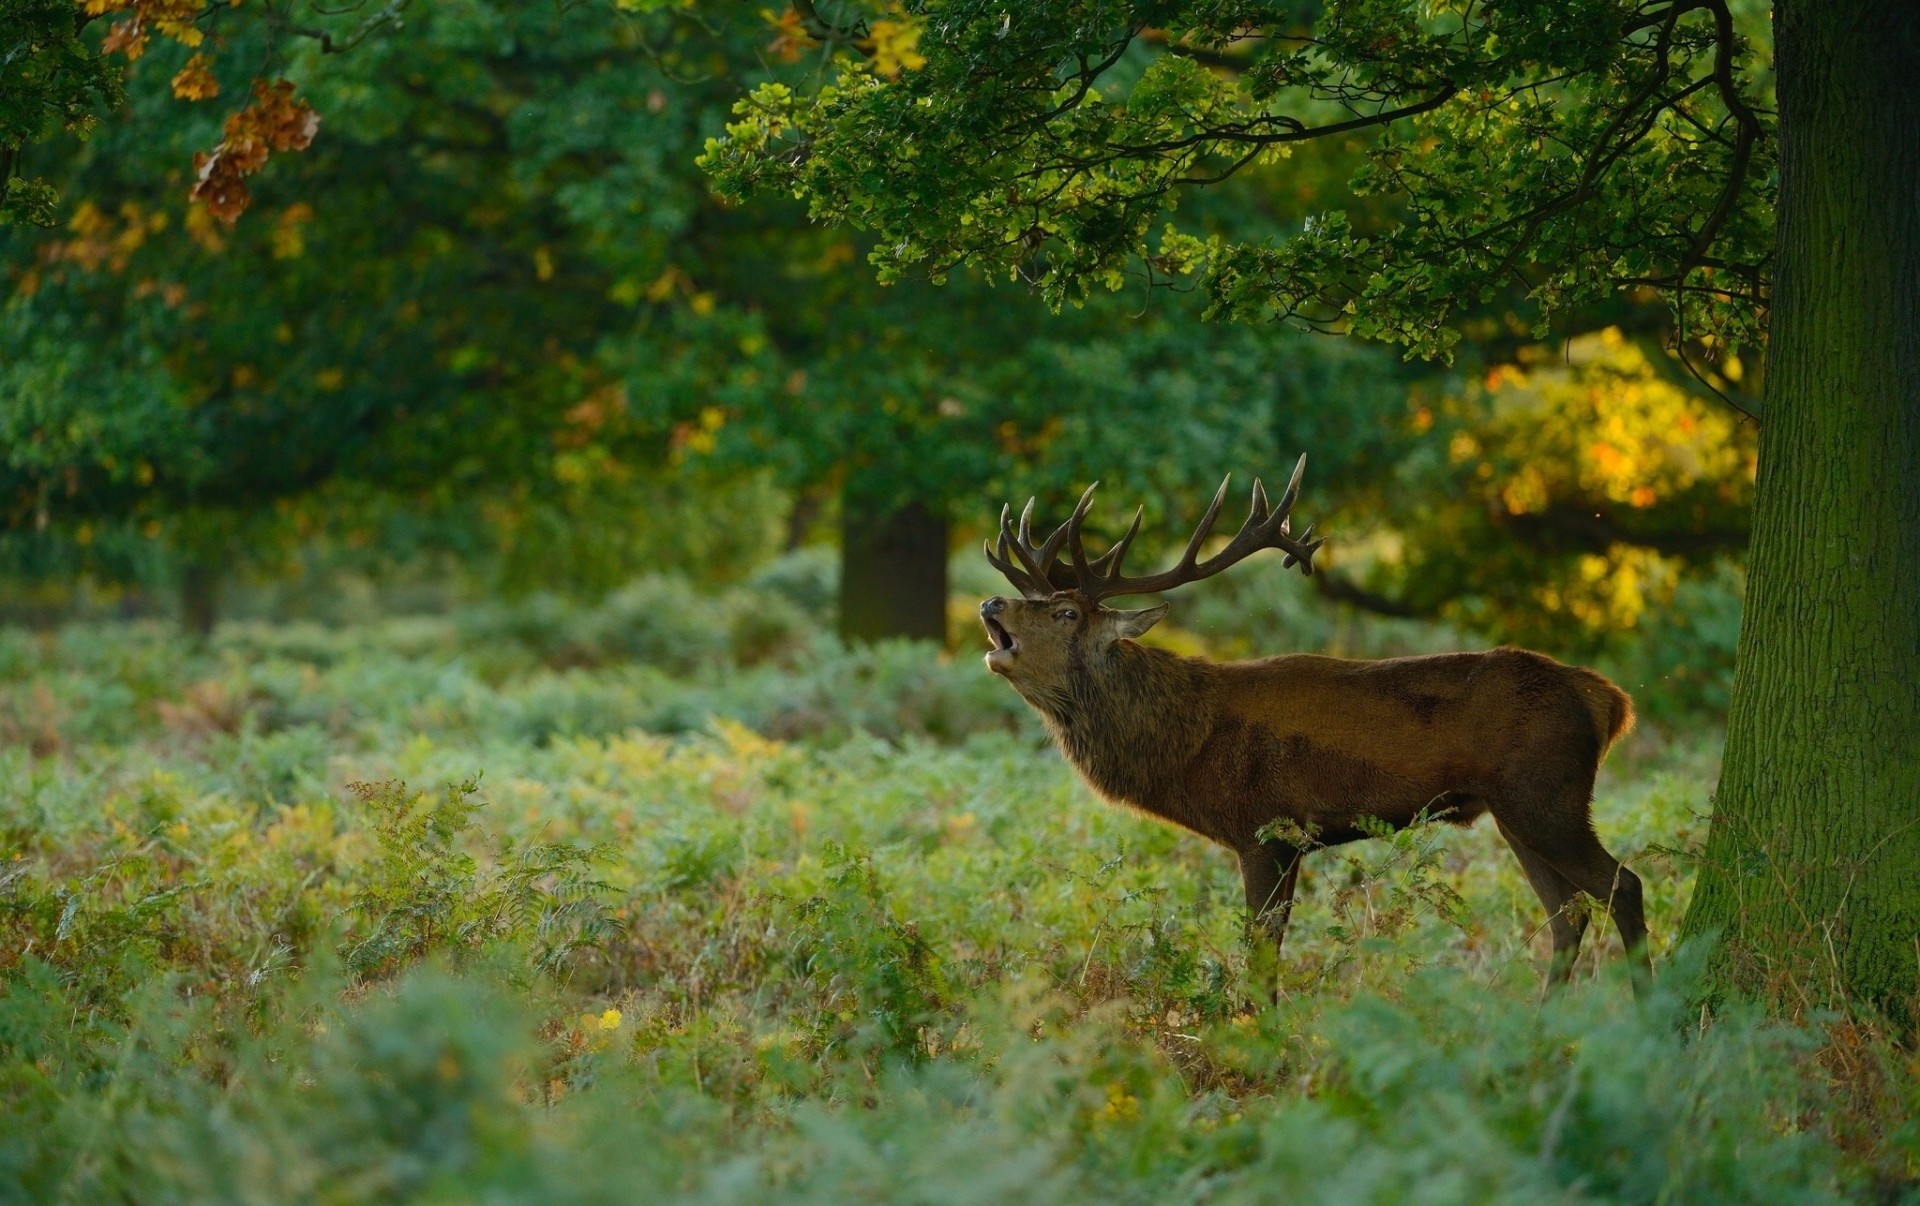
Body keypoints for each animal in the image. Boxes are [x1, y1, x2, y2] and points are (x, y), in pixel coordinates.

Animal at [977, 455, 1651, 990]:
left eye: (1066, 612)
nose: (990, 601)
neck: (1186, 744)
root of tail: (1610, 701)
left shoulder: (1266, 828)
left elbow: (1262, 954)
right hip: (1515, 810)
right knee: (1569, 911)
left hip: (1547, 795)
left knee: (1624, 886)